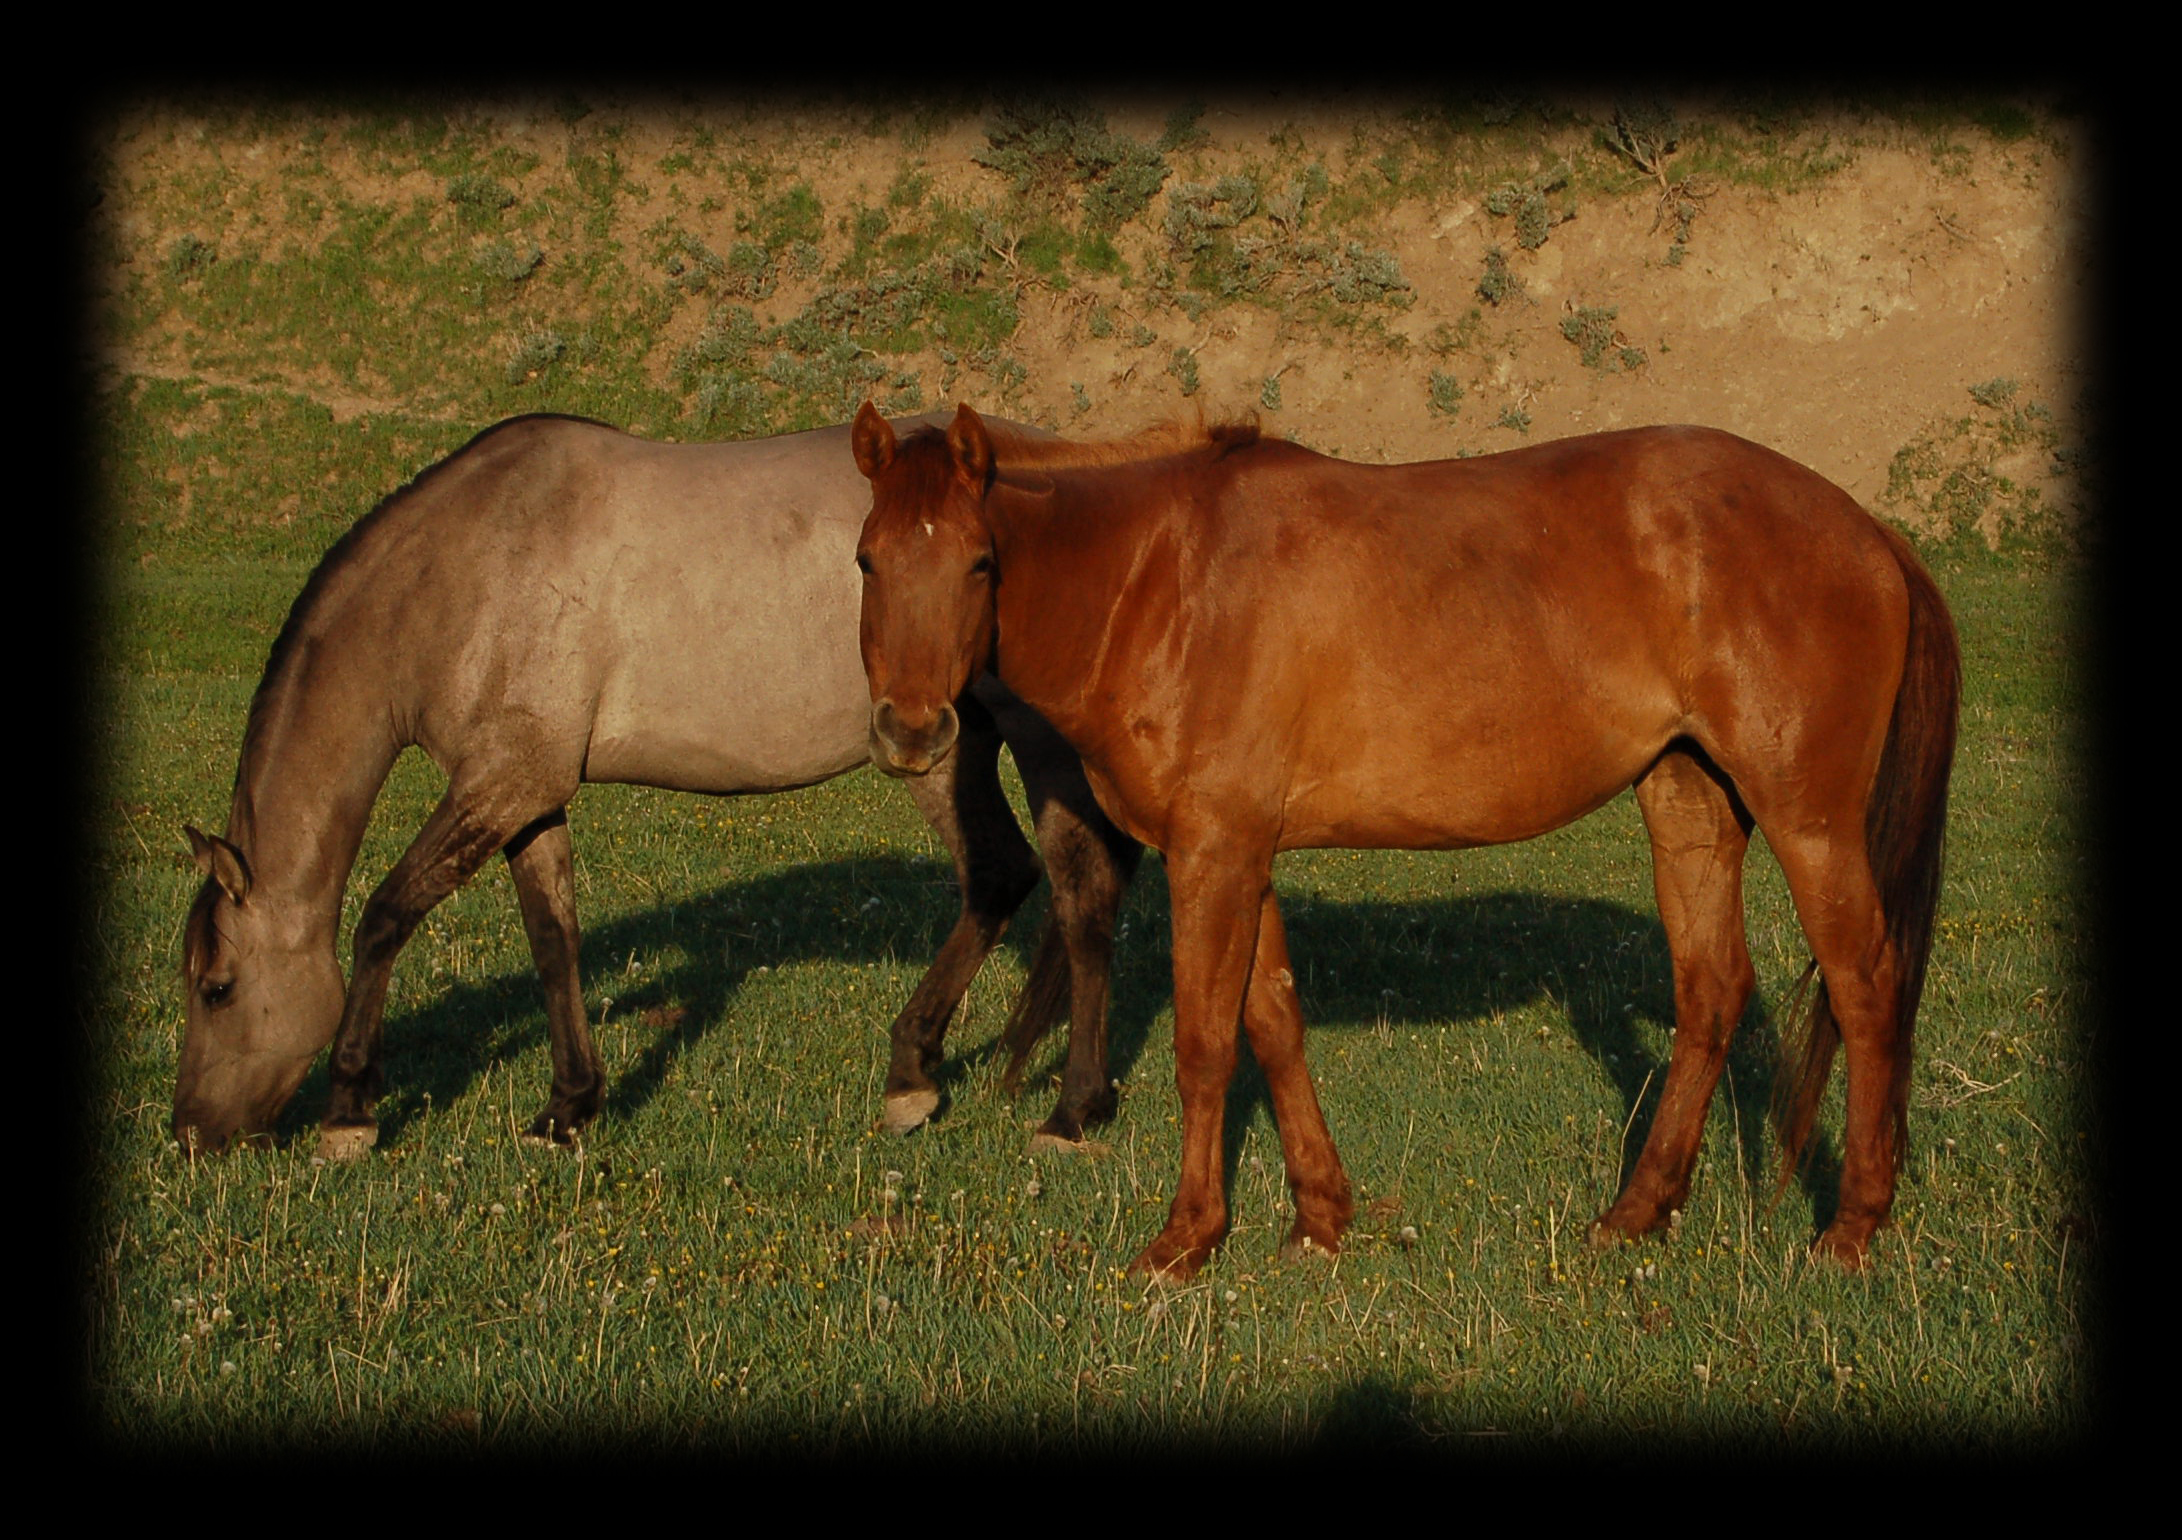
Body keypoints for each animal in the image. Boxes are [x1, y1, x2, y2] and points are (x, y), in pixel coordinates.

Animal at [174, 412, 1140, 1160]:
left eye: (217, 986)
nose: (190, 1133)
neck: (469, 570)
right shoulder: (528, 792)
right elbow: (552, 937)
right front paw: (568, 1107)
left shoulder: (501, 780)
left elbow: (385, 915)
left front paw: (350, 1112)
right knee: (1029, 882)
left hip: (971, 745)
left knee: (1054, 886)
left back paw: (1035, 1102)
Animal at [850, 401, 1959, 1280]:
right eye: (867, 559)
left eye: (979, 562)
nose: (911, 730)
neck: (1163, 579)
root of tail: (1865, 529)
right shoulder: (1242, 853)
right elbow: (1274, 1024)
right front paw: (1318, 1217)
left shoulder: (1213, 852)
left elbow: (1205, 1045)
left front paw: (1186, 1240)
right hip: (1689, 799)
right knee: (1712, 993)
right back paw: (1637, 1212)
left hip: (1809, 823)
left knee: (1865, 992)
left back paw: (1851, 1230)